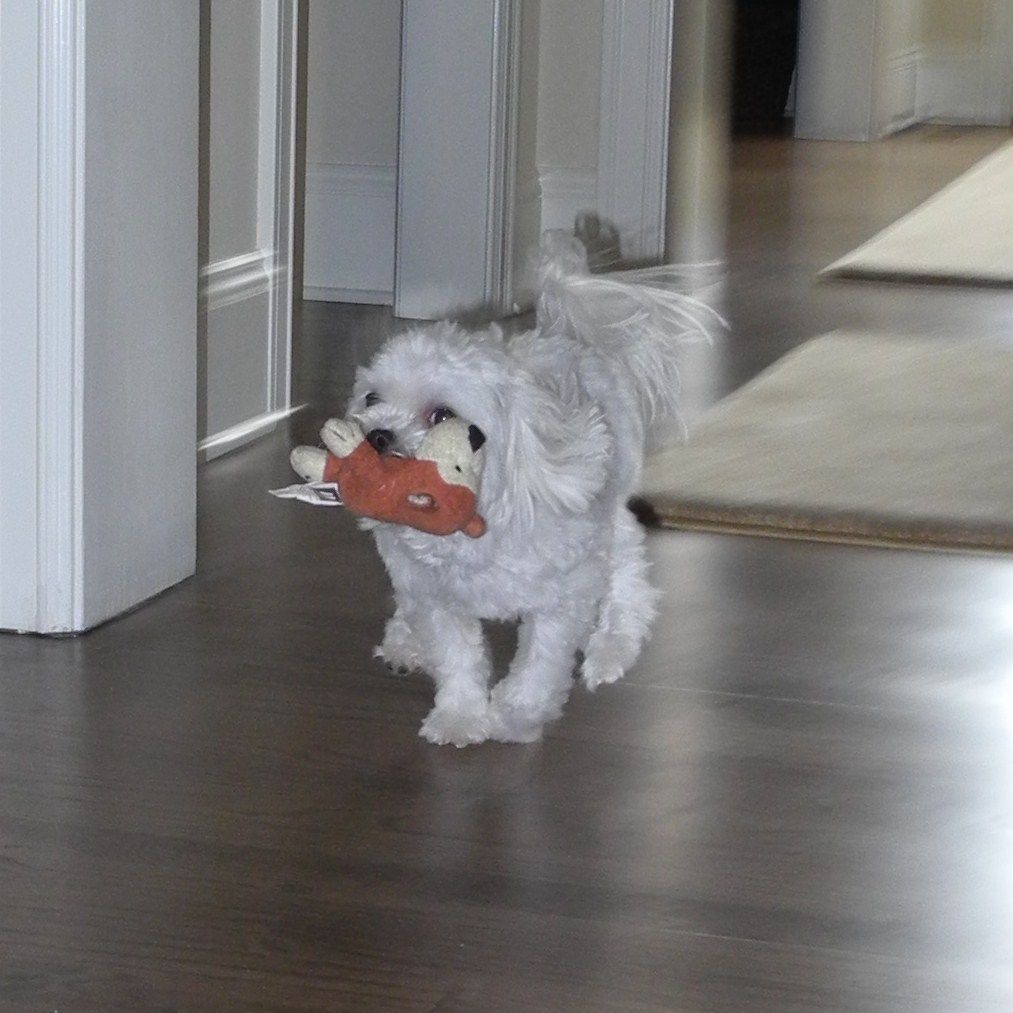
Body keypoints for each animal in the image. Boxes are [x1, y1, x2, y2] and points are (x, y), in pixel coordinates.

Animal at [295, 237, 717, 745]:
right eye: (371, 400)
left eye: (442, 416)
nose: (377, 435)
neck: (472, 534)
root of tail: (562, 334)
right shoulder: (437, 600)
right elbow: (457, 659)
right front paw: (459, 717)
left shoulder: (563, 598)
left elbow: (539, 663)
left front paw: (517, 716)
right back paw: (404, 642)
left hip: (611, 518)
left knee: (629, 574)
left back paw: (612, 647)